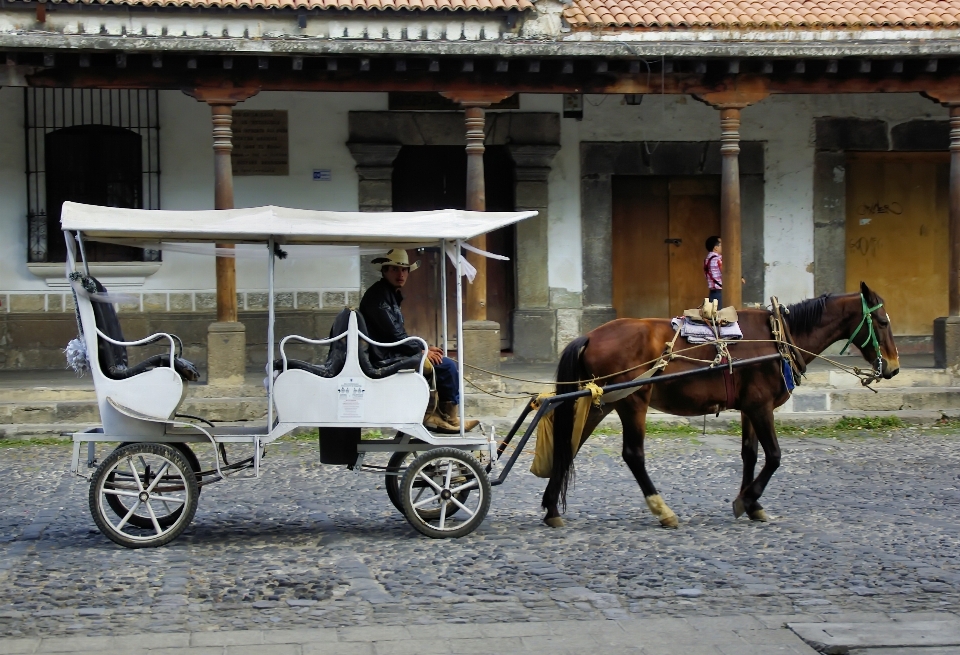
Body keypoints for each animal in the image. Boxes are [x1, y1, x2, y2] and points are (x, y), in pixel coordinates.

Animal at [548, 282, 900, 528]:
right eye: (882, 322)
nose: (894, 367)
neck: (779, 338)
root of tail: (591, 336)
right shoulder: (761, 406)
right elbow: (774, 456)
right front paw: (748, 499)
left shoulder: (750, 407)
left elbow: (750, 454)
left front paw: (752, 503)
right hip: (633, 400)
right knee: (633, 454)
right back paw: (663, 510)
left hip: (603, 401)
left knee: (570, 445)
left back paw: (551, 507)